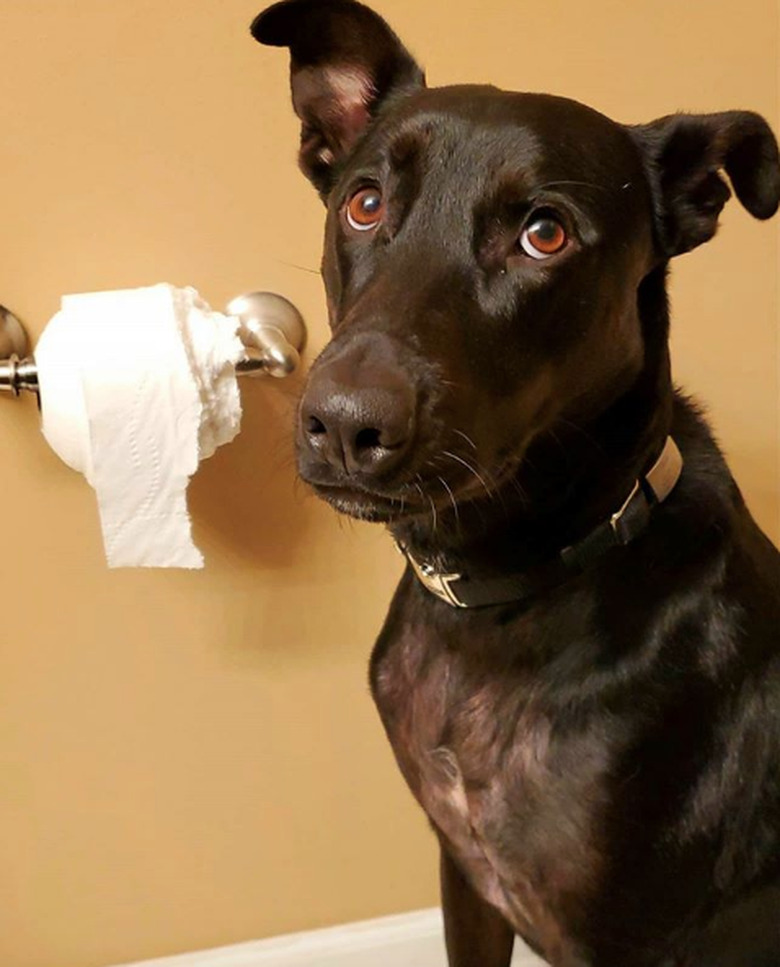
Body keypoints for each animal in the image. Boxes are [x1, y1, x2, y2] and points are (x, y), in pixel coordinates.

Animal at [251, 3, 780, 964]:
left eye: (545, 233)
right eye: (364, 202)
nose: (345, 424)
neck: (493, 604)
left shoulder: (620, 934)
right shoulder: (465, 874)